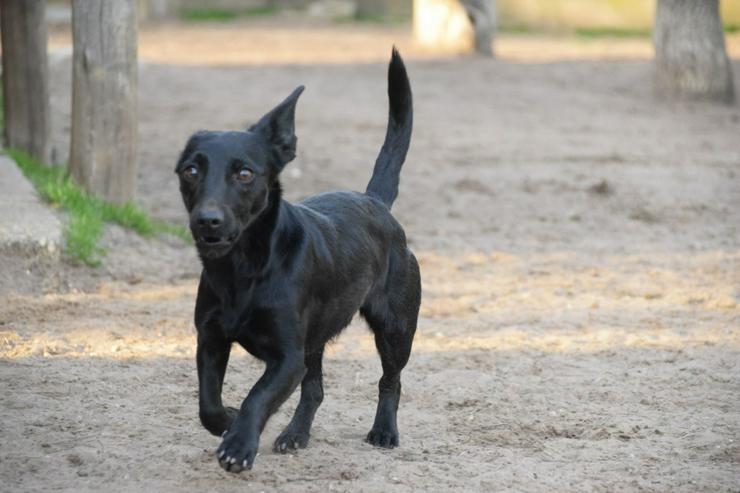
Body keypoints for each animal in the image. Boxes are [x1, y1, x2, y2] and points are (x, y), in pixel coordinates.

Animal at [176, 48, 420, 470]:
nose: (207, 220)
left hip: (395, 328)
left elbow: (256, 396)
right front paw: (228, 423)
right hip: (316, 340)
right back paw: (295, 434)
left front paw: (239, 445)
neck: (243, 269)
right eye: (190, 170)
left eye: (245, 173)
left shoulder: (287, 358)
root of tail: (374, 201)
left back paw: (384, 431)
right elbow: (208, 403)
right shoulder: (210, 339)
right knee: (315, 390)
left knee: (391, 381)